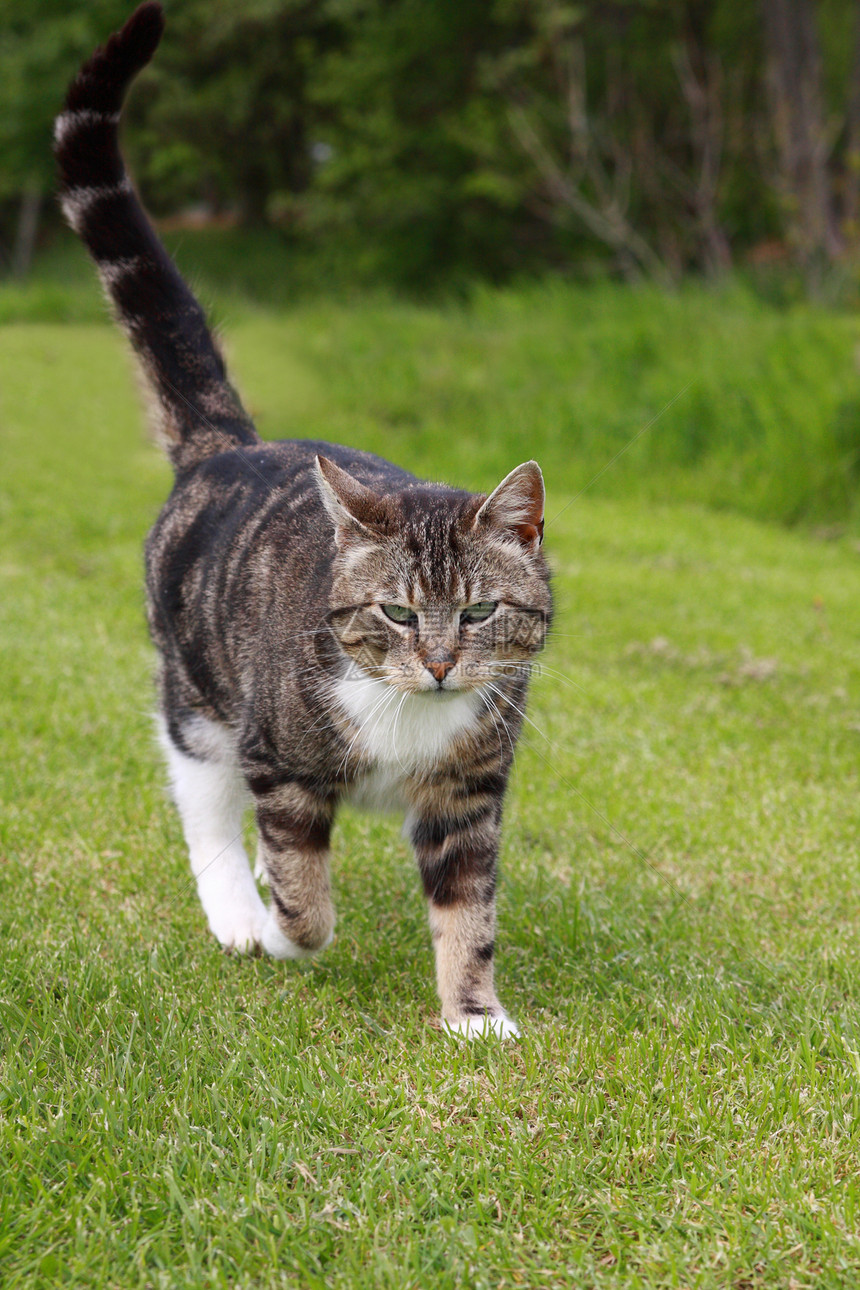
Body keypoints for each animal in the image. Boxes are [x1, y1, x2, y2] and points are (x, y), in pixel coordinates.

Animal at [53, 2, 551, 1037]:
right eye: (397, 612)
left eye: (480, 612)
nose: (440, 665)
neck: (410, 719)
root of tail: (227, 443)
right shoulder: (278, 761)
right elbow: (304, 892)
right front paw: (283, 930)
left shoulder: (470, 791)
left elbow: (469, 906)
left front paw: (474, 1013)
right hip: (198, 691)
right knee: (204, 798)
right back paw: (237, 908)